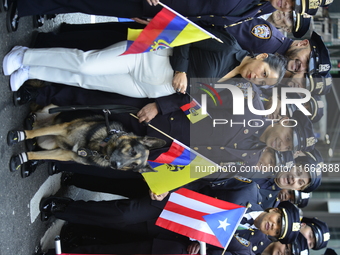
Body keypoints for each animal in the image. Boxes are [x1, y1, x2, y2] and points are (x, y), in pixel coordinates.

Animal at [7, 104, 167, 172]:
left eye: (134, 165)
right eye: (133, 151)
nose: (116, 165)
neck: (97, 148)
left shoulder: (64, 154)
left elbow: (38, 155)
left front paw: (21, 159)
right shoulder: (64, 128)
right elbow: (33, 133)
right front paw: (20, 135)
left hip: (49, 144)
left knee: (38, 127)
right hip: (53, 109)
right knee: (38, 120)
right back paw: (31, 121)